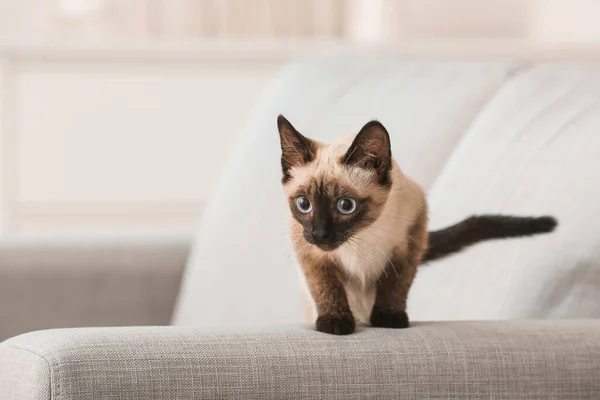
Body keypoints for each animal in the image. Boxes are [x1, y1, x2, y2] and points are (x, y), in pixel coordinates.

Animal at [278, 115, 560, 334]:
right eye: (304, 204)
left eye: (346, 206)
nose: (319, 234)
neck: (360, 239)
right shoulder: (311, 254)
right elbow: (326, 288)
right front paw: (335, 322)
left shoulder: (409, 242)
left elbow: (395, 286)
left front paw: (389, 319)